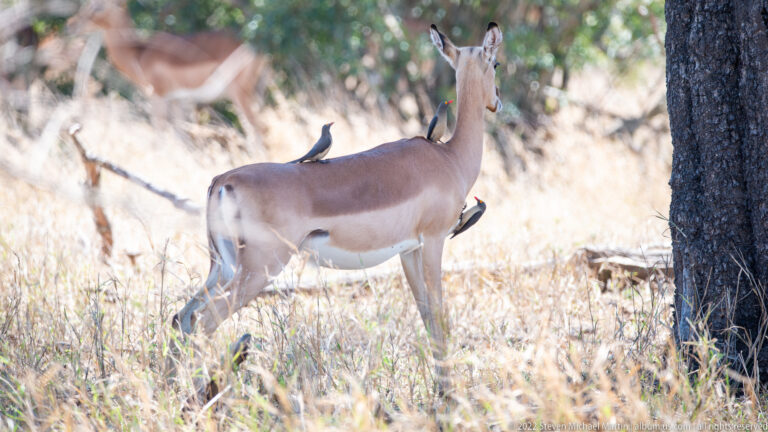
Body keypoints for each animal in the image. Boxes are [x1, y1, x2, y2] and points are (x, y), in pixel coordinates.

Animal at [67, 1, 269, 149]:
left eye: (99, 6)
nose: (71, 25)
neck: (139, 54)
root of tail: (257, 48)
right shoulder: (177, 101)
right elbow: (183, 139)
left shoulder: (158, 97)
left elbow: (159, 134)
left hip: (240, 95)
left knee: (259, 130)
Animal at [173, 22, 503, 396]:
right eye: (495, 64)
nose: (497, 101)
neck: (450, 157)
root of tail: (222, 180)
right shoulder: (434, 241)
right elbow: (439, 313)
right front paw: (449, 393)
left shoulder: (410, 250)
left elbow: (425, 314)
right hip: (258, 270)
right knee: (203, 320)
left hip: (223, 268)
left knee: (183, 316)